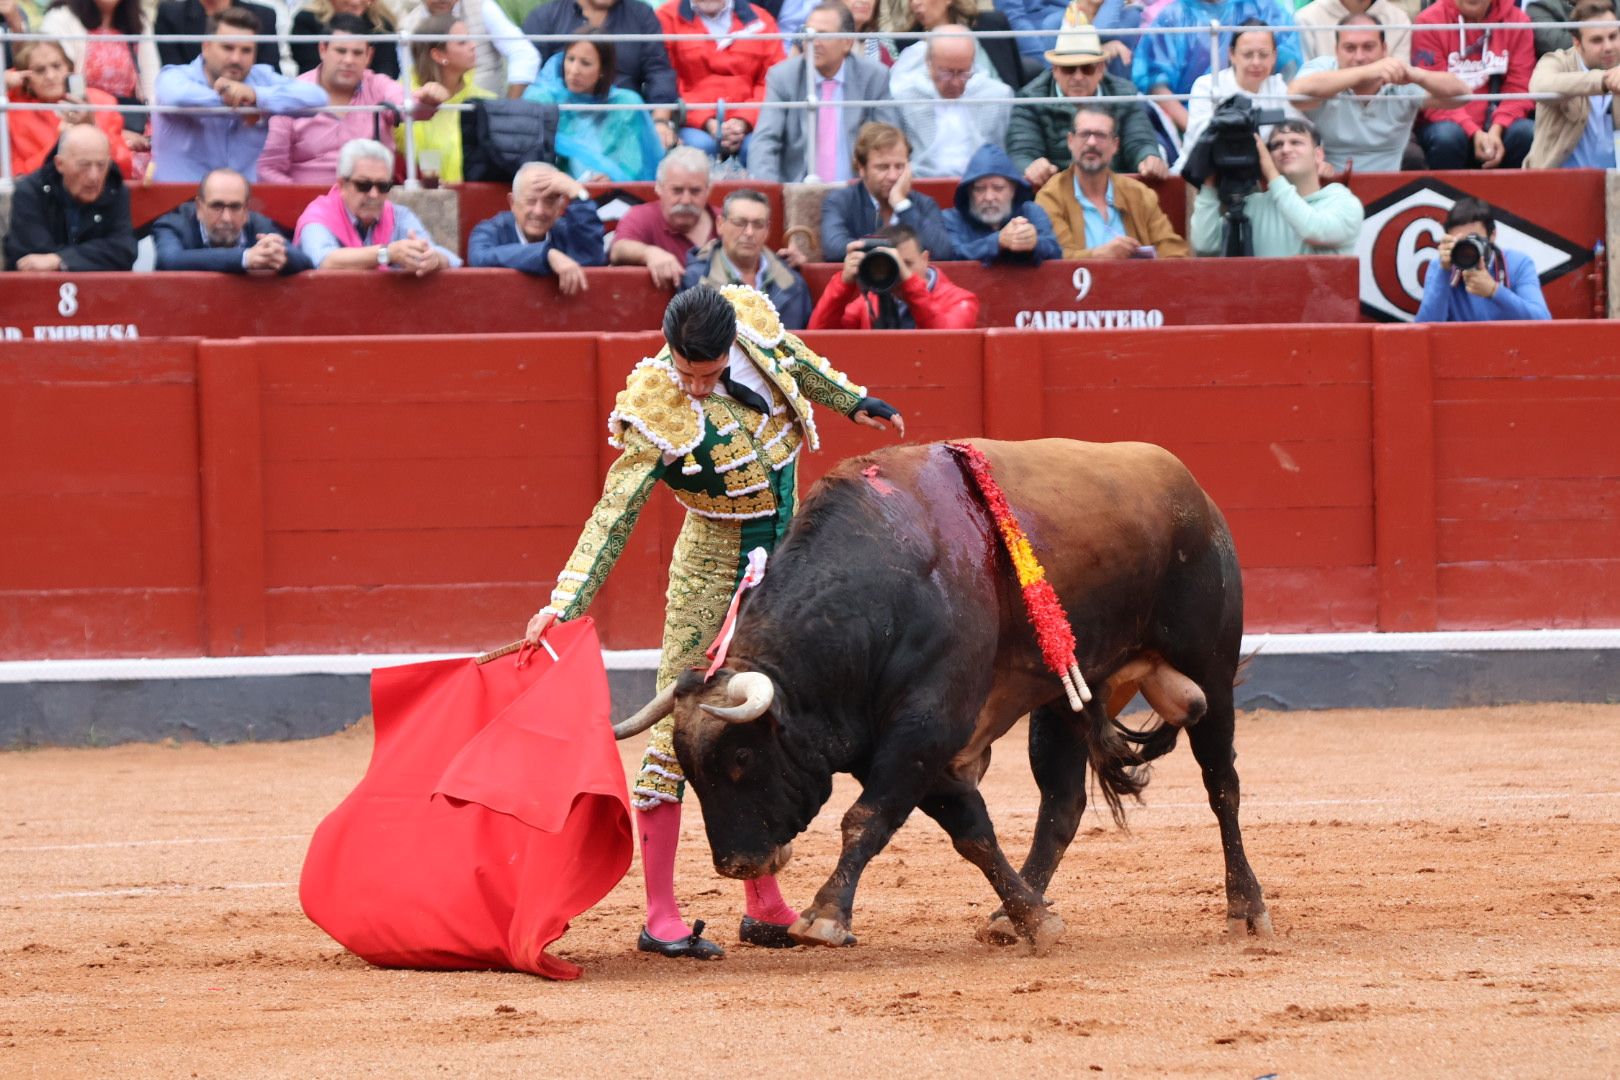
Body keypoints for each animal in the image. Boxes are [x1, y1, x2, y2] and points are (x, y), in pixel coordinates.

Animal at [609, 440, 1263, 952]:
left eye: (743, 758)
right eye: (691, 770)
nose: (736, 864)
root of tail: (1193, 494)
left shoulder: (925, 725)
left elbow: (866, 818)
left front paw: (824, 918)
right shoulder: (898, 743)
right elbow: (971, 829)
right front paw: (1034, 919)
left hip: (1209, 664)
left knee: (1221, 785)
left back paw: (1248, 909)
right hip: (1065, 698)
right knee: (1062, 805)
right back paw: (1007, 918)